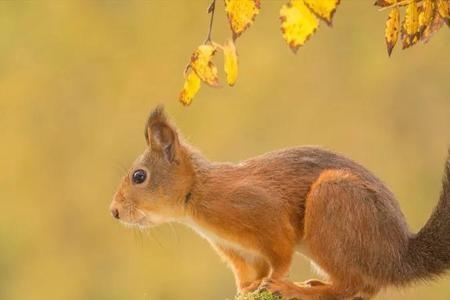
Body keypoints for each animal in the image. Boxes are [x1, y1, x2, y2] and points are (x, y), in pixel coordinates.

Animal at [109, 105, 450, 300]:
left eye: (139, 176)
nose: (113, 211)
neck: (198, 194)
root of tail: (398, 255)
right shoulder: (235, 250)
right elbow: (248, 273)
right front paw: (246, 289)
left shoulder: (264, 213)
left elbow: (280, 257)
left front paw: (274, 282)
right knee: (365, 289)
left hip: (333, 205)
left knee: (350, 287)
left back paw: (297, 290)